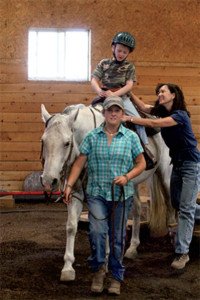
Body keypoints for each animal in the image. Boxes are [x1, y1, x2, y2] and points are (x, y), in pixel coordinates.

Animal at [39, 103, 174, 282]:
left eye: (67, 143)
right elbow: (72, 226)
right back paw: (132, 247)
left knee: (171, 205)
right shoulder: (75, 194)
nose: (48, 181)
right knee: (137, 209)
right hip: (133, 183)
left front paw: (107, 260)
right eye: (43, 141)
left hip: (164, 174)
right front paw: (68, 267)